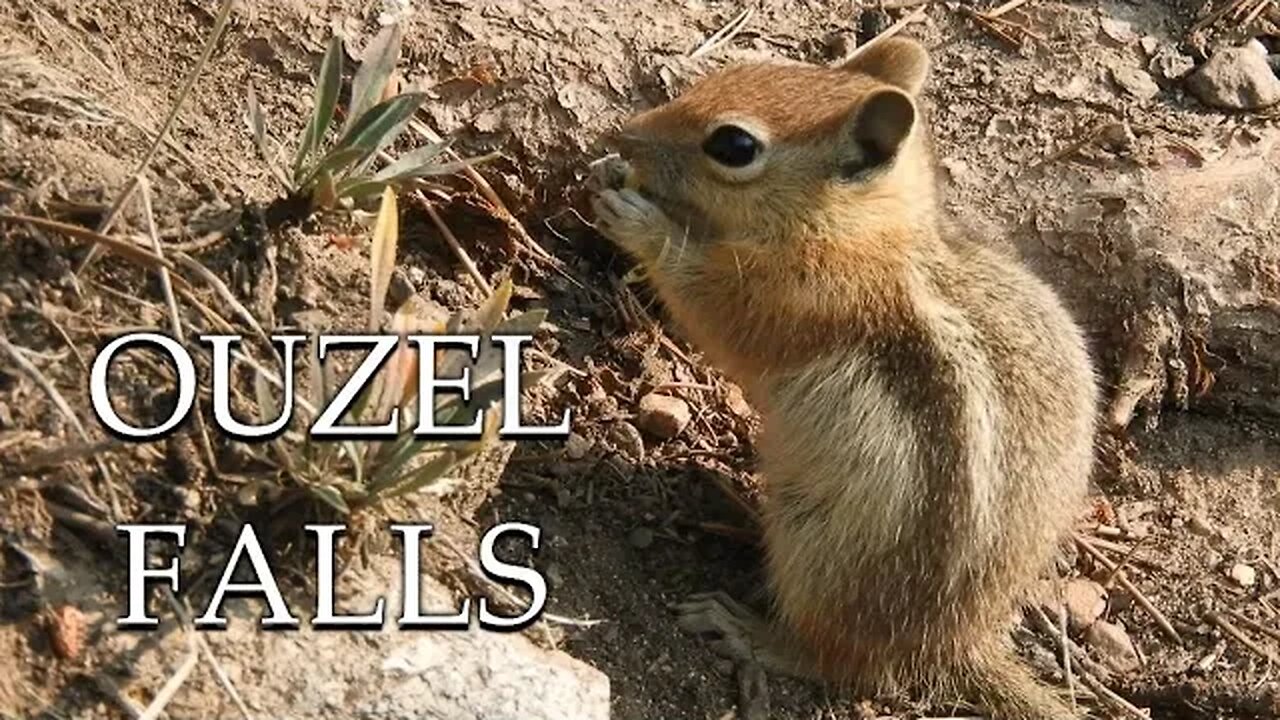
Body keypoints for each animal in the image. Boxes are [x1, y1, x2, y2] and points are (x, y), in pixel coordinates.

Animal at [588, 37, 1100, 717]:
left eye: (734, 146)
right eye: (734, 69)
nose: (624, 135)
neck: (864, 235)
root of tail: (952, 644)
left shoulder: (794, 298)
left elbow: (712, 307)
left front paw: (635, 216)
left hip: (817, 551)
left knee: (846, 666)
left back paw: (745, 629)